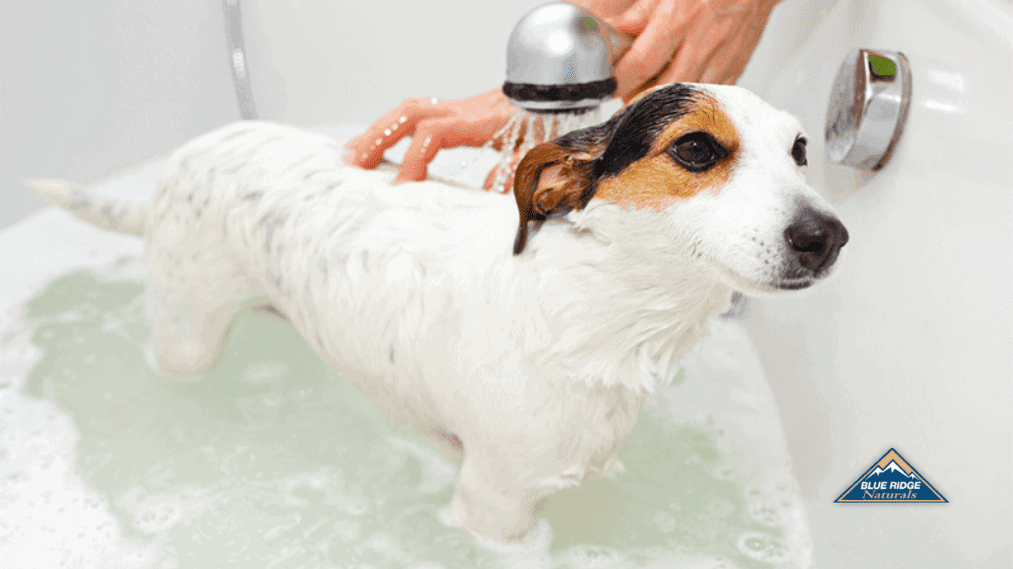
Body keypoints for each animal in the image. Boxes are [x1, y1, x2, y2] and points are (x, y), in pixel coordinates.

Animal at [29, 80, 846, 538]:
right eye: (697, 149)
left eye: (801, 150)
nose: (829, 236)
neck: (587, 310)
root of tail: (192, 150)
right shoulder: (496, 504)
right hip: (186, 335)